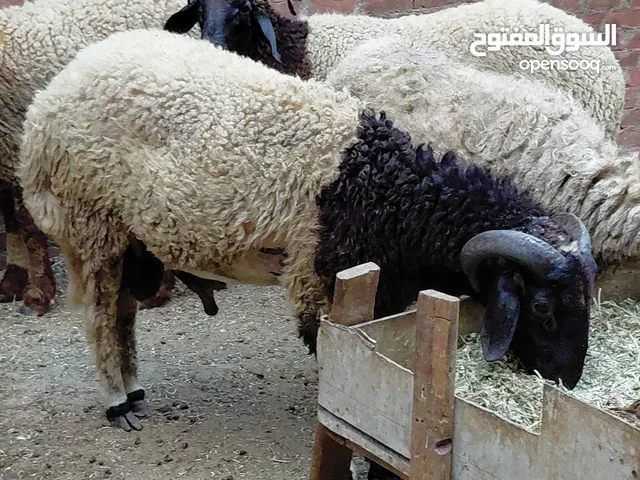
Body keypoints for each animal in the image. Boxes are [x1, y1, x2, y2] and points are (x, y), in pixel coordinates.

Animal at [17, 29, 597, 431]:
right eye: (541, 308)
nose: (566, 380)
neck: (388, 188)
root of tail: (56, 89)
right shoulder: (320, 278)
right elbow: (329, 351)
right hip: (89, 223)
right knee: (99, 314)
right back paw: (118, 405)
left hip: (130, 238)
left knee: (123, 313)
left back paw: (135, 391)